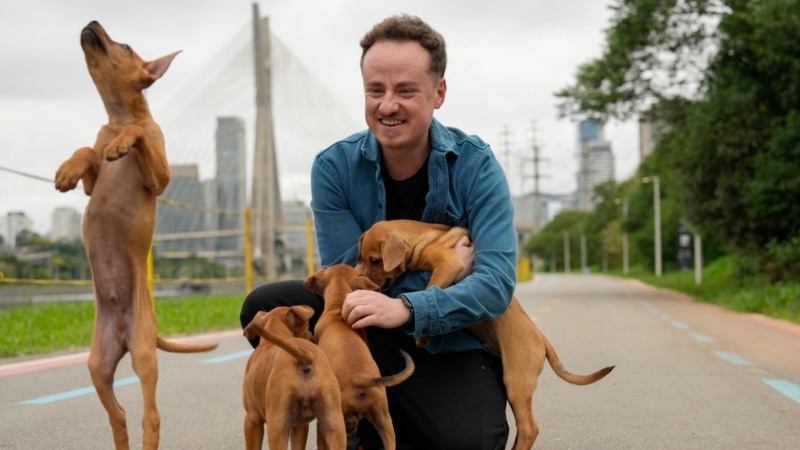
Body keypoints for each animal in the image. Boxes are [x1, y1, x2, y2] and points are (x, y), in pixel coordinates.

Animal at [52, 22, 217, 450]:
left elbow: (136, 137)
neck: (118, 115)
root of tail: (126, 335)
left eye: (124, 45)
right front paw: (67, 170)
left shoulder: (161, 178)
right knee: (119, 415)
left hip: (144, 355)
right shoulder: (93, 184)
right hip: (97, 363)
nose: (91, 23)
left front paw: (123, 143)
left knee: (150, 416)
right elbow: (88, 152)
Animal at [242, 306, 346, 450]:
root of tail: (305, 357)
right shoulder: (300, 426)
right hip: (334, 426)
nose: (313, 338)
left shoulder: (252, 419)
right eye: (307, 326)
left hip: (277, 430)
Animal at [354, 221, 612, 450]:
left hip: (517, 379)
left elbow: (431, 287)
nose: (366, 282)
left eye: (375, 260)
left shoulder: (448, 264)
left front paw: (423, 333)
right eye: (362, 257)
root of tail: (540, 337)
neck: (420, 237)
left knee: (530, 427)